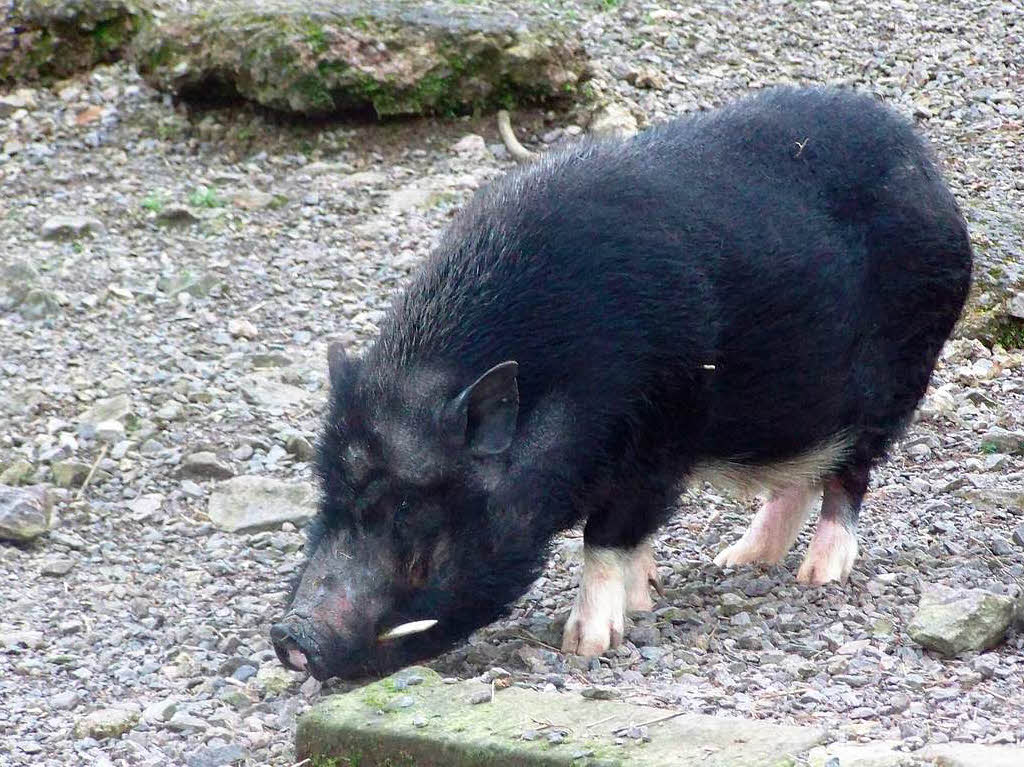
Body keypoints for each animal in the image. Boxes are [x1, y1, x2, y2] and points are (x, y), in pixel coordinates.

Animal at [272, 86, 974, 679]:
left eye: (411, 511)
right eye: (328, 493)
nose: (290, 637)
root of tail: (929, 170)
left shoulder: (657, 443)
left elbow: (607, 537)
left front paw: (584, 645)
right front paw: (646, 598)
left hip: (900, 376)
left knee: (848, 477)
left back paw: (816, 577)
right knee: (800, 478)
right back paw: (737, 561)